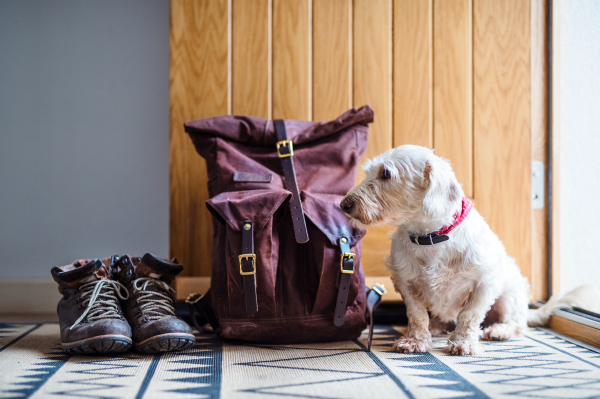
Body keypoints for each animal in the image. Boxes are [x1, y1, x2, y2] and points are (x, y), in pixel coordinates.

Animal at [340, 146, 596, 356]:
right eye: (368, 172)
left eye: (386, 173)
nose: (344, 205)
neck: (432, 238)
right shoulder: (406, 283)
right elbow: (417, 315)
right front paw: (416, 340)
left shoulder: (484, 283)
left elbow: (469, 315)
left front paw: (463, 343)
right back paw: (437, 326)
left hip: (509, 296)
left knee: (517, 324)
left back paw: (499, 330)